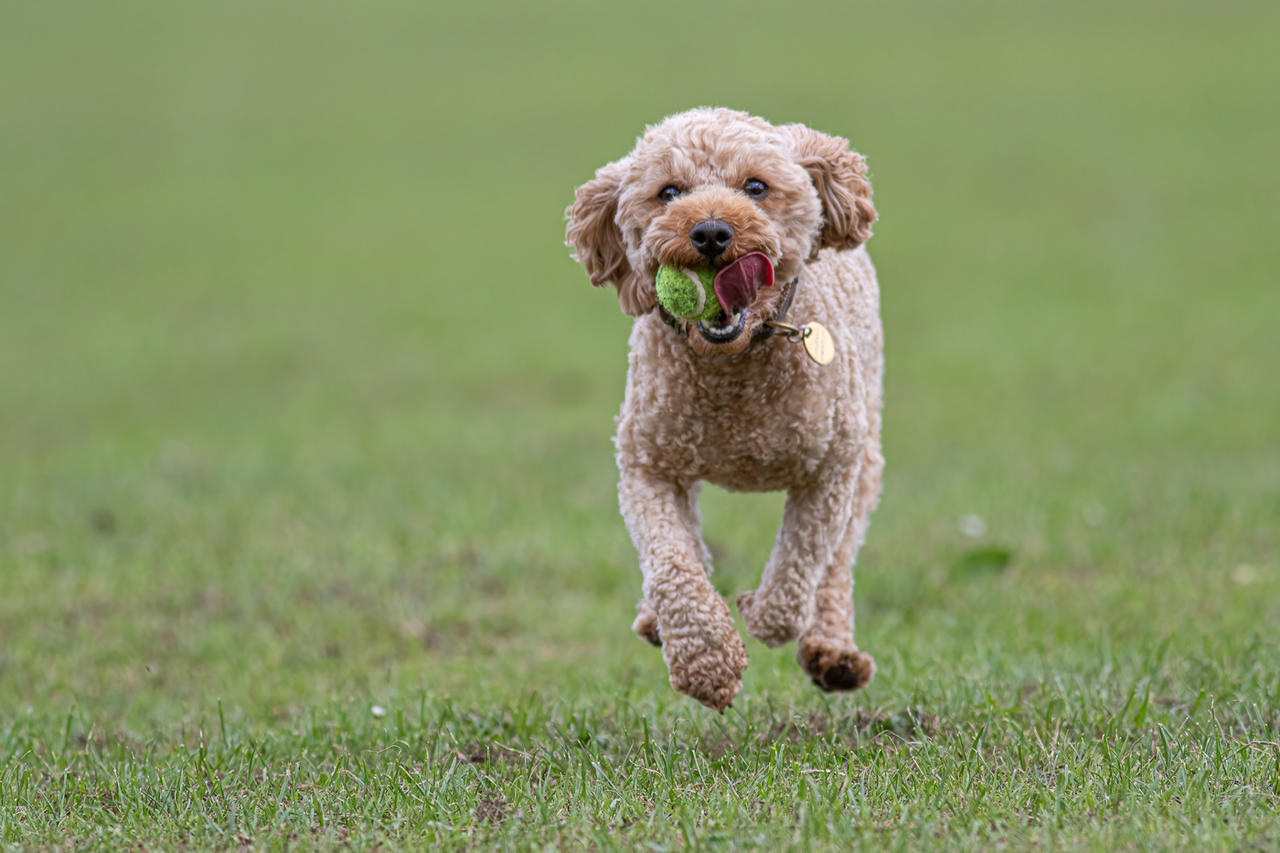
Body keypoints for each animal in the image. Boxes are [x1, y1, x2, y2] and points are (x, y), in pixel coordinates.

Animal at [568, 106, 880, 706]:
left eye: (755, 186)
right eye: (669, 192)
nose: (711, 231)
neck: (734, 365)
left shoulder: (830, 470)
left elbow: (799, 572)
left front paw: (760, 613)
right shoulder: (648, 466)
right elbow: (671, 563)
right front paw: (705, 662)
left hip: (865, 454)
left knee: (836, 565)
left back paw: (832, 652)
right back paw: (654, 620)